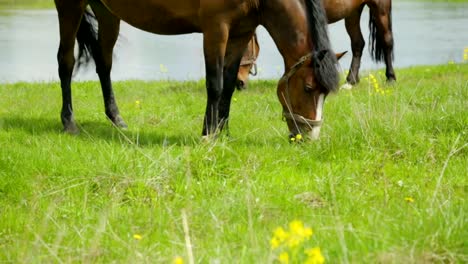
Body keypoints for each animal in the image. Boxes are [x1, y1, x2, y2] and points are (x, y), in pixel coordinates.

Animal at [54, 0, 340, 140]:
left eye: (326, 94)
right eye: (308, 87)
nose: (311, 136)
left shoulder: (241, 31)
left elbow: (228, 87)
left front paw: (222, 132)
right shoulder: (216, 27)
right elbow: (215, 84)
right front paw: (209, 134)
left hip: (107, 12)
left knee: (104, 63)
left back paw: (116, 118)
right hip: (70, 6)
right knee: (65, 61)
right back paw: (69, 122)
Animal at [238, 0, 394, 86]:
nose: (239, 83)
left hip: (380, 8)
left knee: (387, 41)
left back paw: (391, 78)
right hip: (352, 11)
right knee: (358, 44)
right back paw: (351, 81)